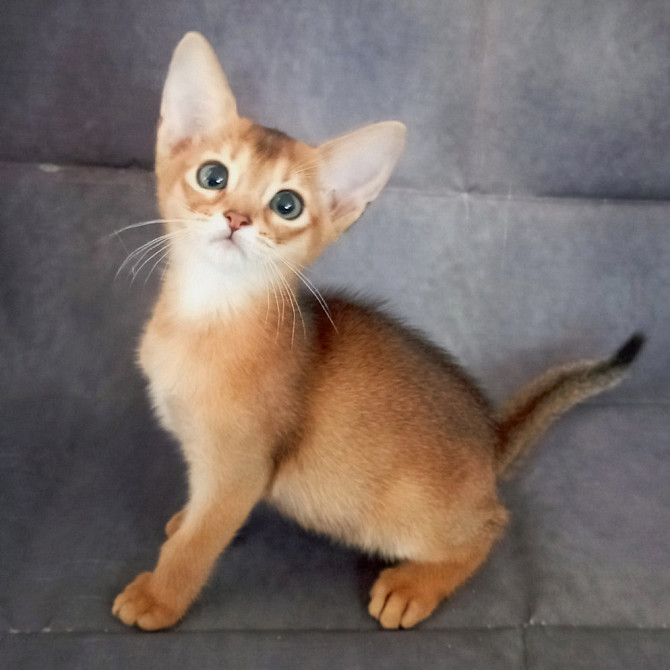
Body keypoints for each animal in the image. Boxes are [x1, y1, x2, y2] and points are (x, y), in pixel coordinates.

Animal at [111, 30, 644, 632]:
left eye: (287, 205)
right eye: (213, 176)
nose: (237, 219)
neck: (206, 316)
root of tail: (491, 443)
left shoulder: (239, 467)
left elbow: (197, 548)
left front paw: (158, 596)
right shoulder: (212, 467)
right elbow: (201, 523)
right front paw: (184, 522)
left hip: (394, 513)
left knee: (490, 528)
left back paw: (414, 586)